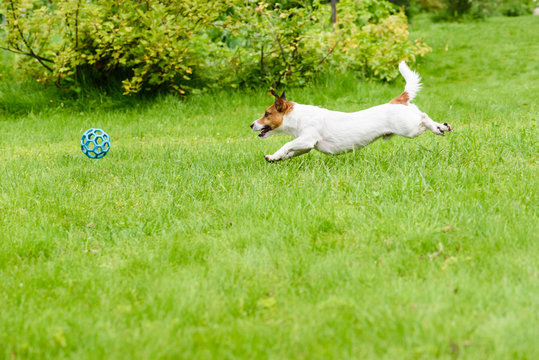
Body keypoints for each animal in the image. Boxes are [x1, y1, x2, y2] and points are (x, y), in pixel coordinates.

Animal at [251, 61, 454, 162]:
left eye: (267, 113)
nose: (252, 124)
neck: (299, 117)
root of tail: (399, 99)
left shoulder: (307, 138)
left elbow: (286, 145)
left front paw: (277, 154)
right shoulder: (306, 145)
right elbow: (290, 152)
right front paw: (274, 158)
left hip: (409, 128)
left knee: (424, 118)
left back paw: (439, 127)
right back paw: (441, 127)